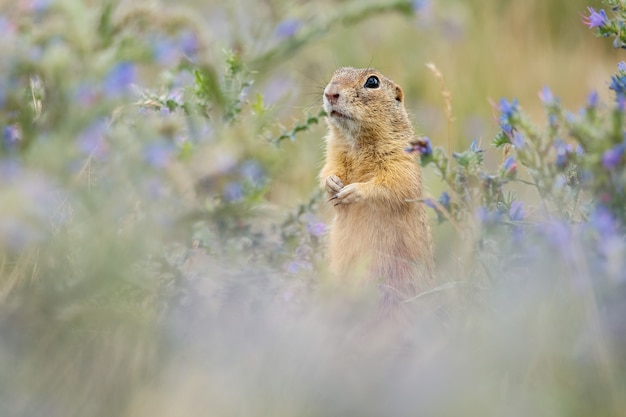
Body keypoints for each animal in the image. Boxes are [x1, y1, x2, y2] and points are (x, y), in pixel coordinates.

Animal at [320, 66, 432, 308]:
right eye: (336, 73)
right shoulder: (333, 152)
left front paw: (353, 191)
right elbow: (328, 170)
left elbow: (395, 183)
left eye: (372, 82)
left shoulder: (401, 159)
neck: (357, 142)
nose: (330, 93)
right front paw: (333, 183)